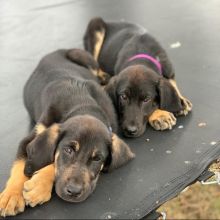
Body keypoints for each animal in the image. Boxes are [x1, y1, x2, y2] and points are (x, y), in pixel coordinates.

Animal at [0, 48, 134, 217]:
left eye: (97, 159)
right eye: (68, 150)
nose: (74, 192)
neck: (82, 104)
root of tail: (53, 52)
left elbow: (53, 160)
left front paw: (39, 186)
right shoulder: (29, 140)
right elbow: (21, 168)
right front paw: (11, 196)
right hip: (78, 54)